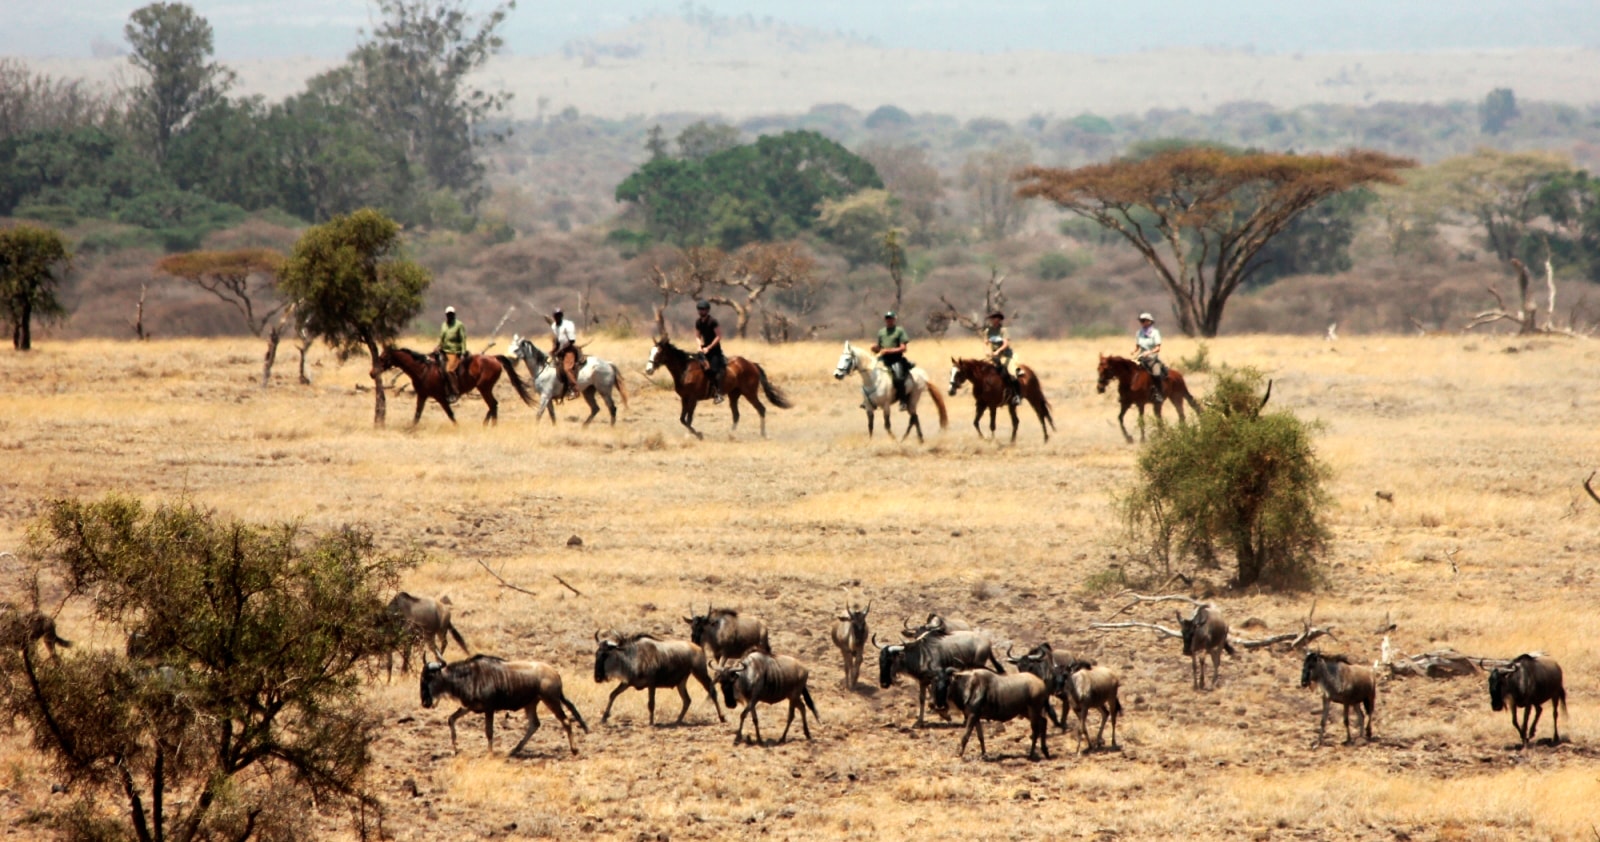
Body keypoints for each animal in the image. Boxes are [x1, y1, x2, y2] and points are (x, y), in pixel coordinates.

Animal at [368, 348, 531, 429]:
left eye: (382, 358)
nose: (372, 373)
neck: (423, 369)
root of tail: (494, 358)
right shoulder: (422, 395)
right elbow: (417, 414)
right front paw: (410, 429)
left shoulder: (440, 397)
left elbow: (450, 414)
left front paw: (458, 427)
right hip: (485, 388)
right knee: (493, 405)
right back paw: (487, 425)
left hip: (484, 388)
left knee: (493, 404)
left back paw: (491, 426)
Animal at [646, 336, 796, 441]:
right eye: (650, 352)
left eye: (659, 353)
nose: (648, 370)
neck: (685, 369)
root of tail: (751, 364)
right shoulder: (685, 399)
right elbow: (683, 419)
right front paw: (692, 435)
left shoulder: (693, 399)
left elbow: (688, 420)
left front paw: (698, 435)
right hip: (734, 394)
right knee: (736, 414)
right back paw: (730, 435)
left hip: (749, 393)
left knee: (761, 409)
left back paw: (763, 434)